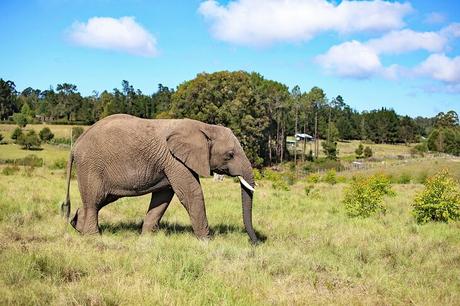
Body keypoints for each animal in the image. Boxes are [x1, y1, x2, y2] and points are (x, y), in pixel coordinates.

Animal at [61, 113, 258, 245]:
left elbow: (163, 197)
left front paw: (146, 239)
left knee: (98, 200)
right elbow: (191, 194)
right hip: (91, 166)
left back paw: (78, 228)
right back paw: (93, 238)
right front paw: (207, 242)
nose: (255, 242)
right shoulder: (175, 160)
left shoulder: (169, 162)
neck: (205, 127)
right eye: (230, 155)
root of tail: (75, 144)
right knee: (94, 201)